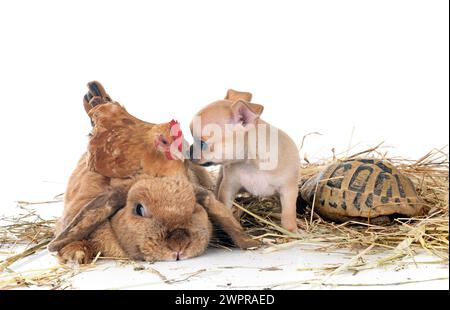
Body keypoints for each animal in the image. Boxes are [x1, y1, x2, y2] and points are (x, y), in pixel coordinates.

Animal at [189, 89, 298, 230]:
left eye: (202, 143)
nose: (189, 150)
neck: (250, 165)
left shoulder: (288, 190)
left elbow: (288, 214)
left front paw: (291, 230)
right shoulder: (228, 187)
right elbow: (226, 207)